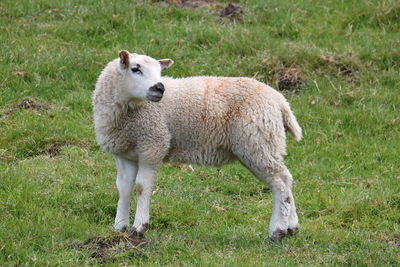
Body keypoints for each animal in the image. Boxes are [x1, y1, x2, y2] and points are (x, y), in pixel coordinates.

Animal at [92, 50, 302, 245]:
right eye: (135, 69)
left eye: (160, 72)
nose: (160, 87)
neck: (128, 111)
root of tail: (280, 100)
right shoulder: (125, 154)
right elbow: (124, 188)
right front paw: (119, 227)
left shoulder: (152, 145)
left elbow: (142, 187)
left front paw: (139, 228)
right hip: (264, 144)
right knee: (286, 179)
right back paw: (292, 227)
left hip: (258, 143)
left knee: (280, 183)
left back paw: (278, 230)